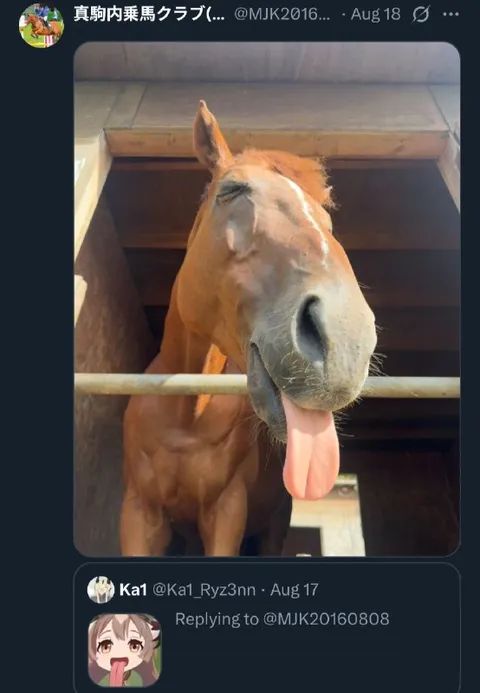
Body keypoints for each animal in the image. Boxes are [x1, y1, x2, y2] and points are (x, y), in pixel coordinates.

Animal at [121, 100, 377, 557]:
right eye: (231, 190)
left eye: (325, 216)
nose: (344, 340)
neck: (186, 417)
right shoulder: (139, 513)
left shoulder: (225, 514)